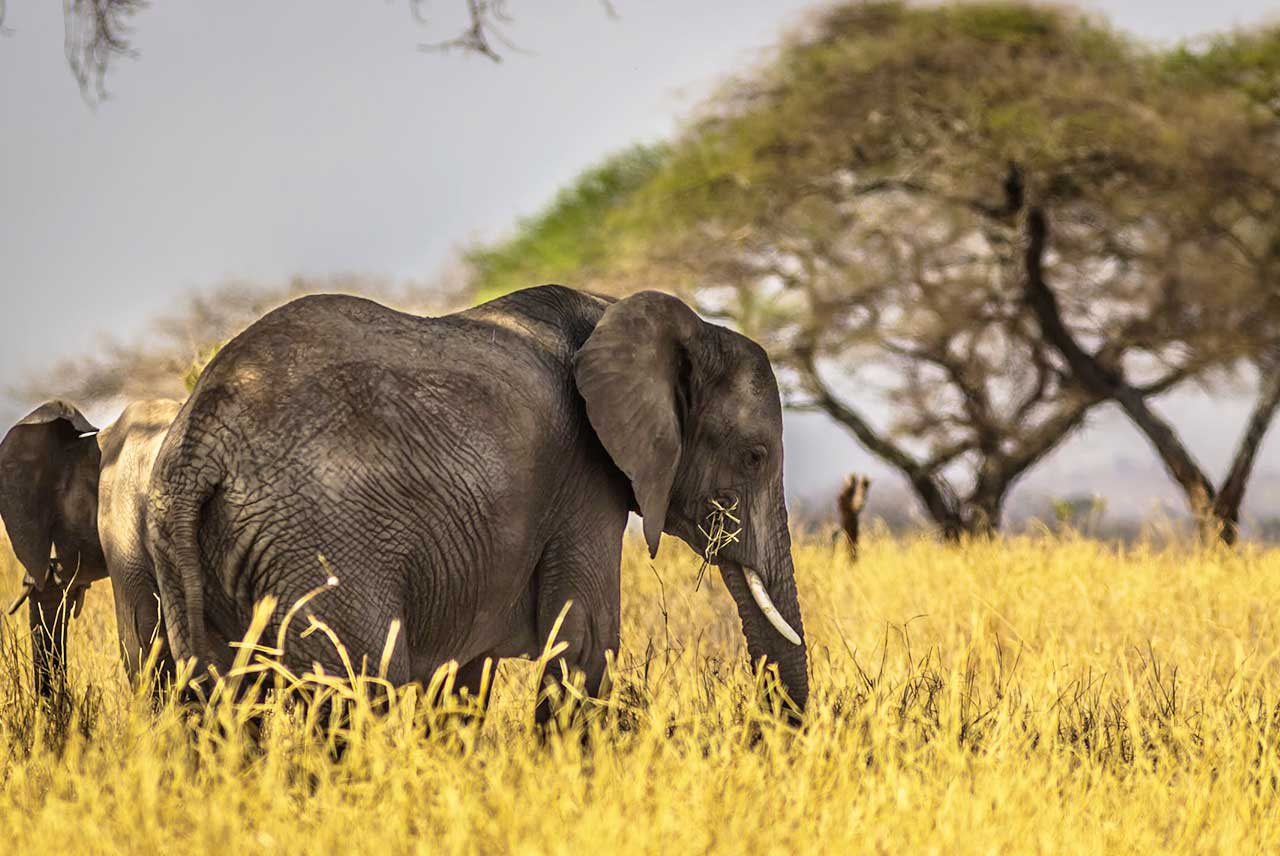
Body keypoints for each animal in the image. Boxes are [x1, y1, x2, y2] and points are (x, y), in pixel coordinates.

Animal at [149, 286, 808, 721]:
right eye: (755, 456)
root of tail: (201, 439)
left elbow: (463, 674)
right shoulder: (584, 477)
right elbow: (586, 641)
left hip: (187, 556)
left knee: (216, 699)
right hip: (318, 544)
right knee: (362, 688)